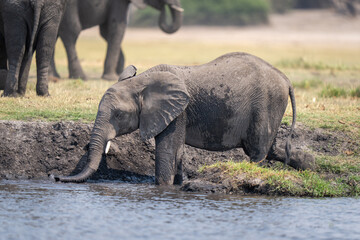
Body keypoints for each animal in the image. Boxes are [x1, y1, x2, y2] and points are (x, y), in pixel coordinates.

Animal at [50, 0, 183, 80]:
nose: (163, 7)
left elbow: (106, 32)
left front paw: (120, 72)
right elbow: (117, 27)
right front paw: (111, 78)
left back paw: (54, 77)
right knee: (71, 31)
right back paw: (80, 77)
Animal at [54, 52, 316, 184]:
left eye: (118, 115)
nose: (54, 176)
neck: (143, 80)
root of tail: (286, 79)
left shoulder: (178, 111)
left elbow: (167, 150)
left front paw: (163, 188)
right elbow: (176, 151)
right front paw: (181, 184)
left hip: (267, 103)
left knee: (258, 153)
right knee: (269, 149)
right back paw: (309, 166)